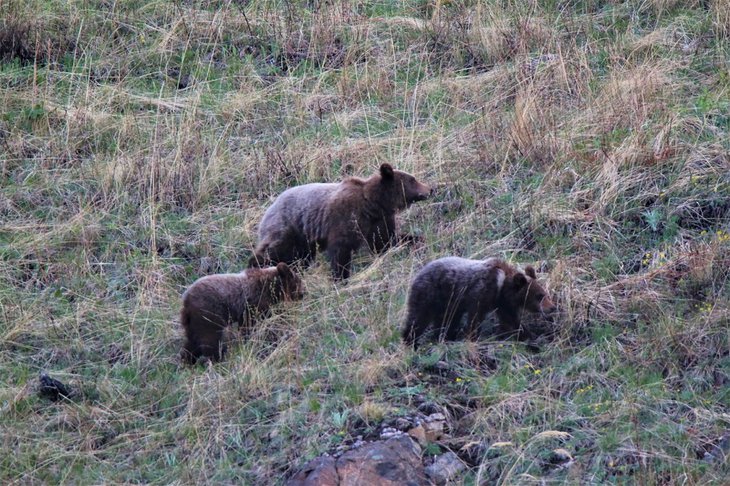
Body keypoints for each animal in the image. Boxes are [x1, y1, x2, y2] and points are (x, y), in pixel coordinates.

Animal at [250, 163, 432, 280]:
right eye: (413, 180)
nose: (430, 189)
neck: (372, 205)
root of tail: (268, 208)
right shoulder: (344, 219)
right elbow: (340, 250)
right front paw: (341, 277)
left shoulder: (379, 221)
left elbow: (385, 241)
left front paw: (416, 239)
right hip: (289, 227)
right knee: (274, 250)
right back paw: (256, 265)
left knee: (300, 257)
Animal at [400, 256, 556, 348]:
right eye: (539, 296)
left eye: (546, 294)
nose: (553, 307)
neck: (501, 286)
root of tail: (419, 272)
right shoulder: (481, 292)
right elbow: (475, 316)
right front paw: (473, 337)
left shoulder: (502, 303)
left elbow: (511, 320)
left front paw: (530, 335)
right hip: (430, 294)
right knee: (419, 317)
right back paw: (410, 340)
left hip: (448, 304)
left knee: (446, 320)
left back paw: (444, 337)